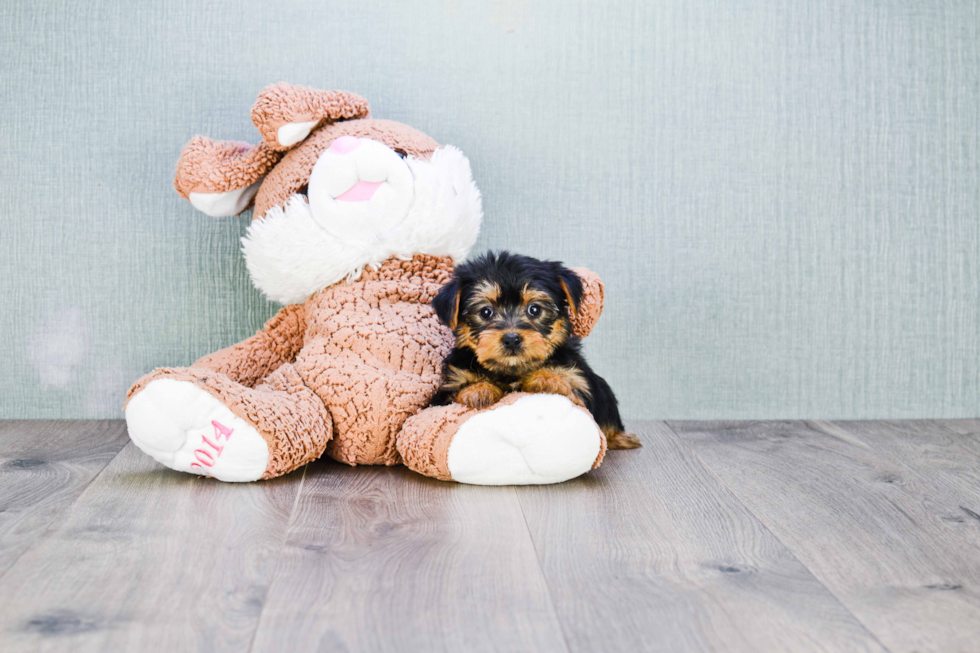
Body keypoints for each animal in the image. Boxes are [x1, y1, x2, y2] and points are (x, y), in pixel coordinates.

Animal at [432, 250, 640, 448]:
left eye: (534, 309)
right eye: (485, 312)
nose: (511, 339)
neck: (512, 371)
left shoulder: (579, 380)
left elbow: (573, 391)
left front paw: (546, 379)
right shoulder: (447, 390)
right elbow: (455, 394)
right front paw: (478, 389)